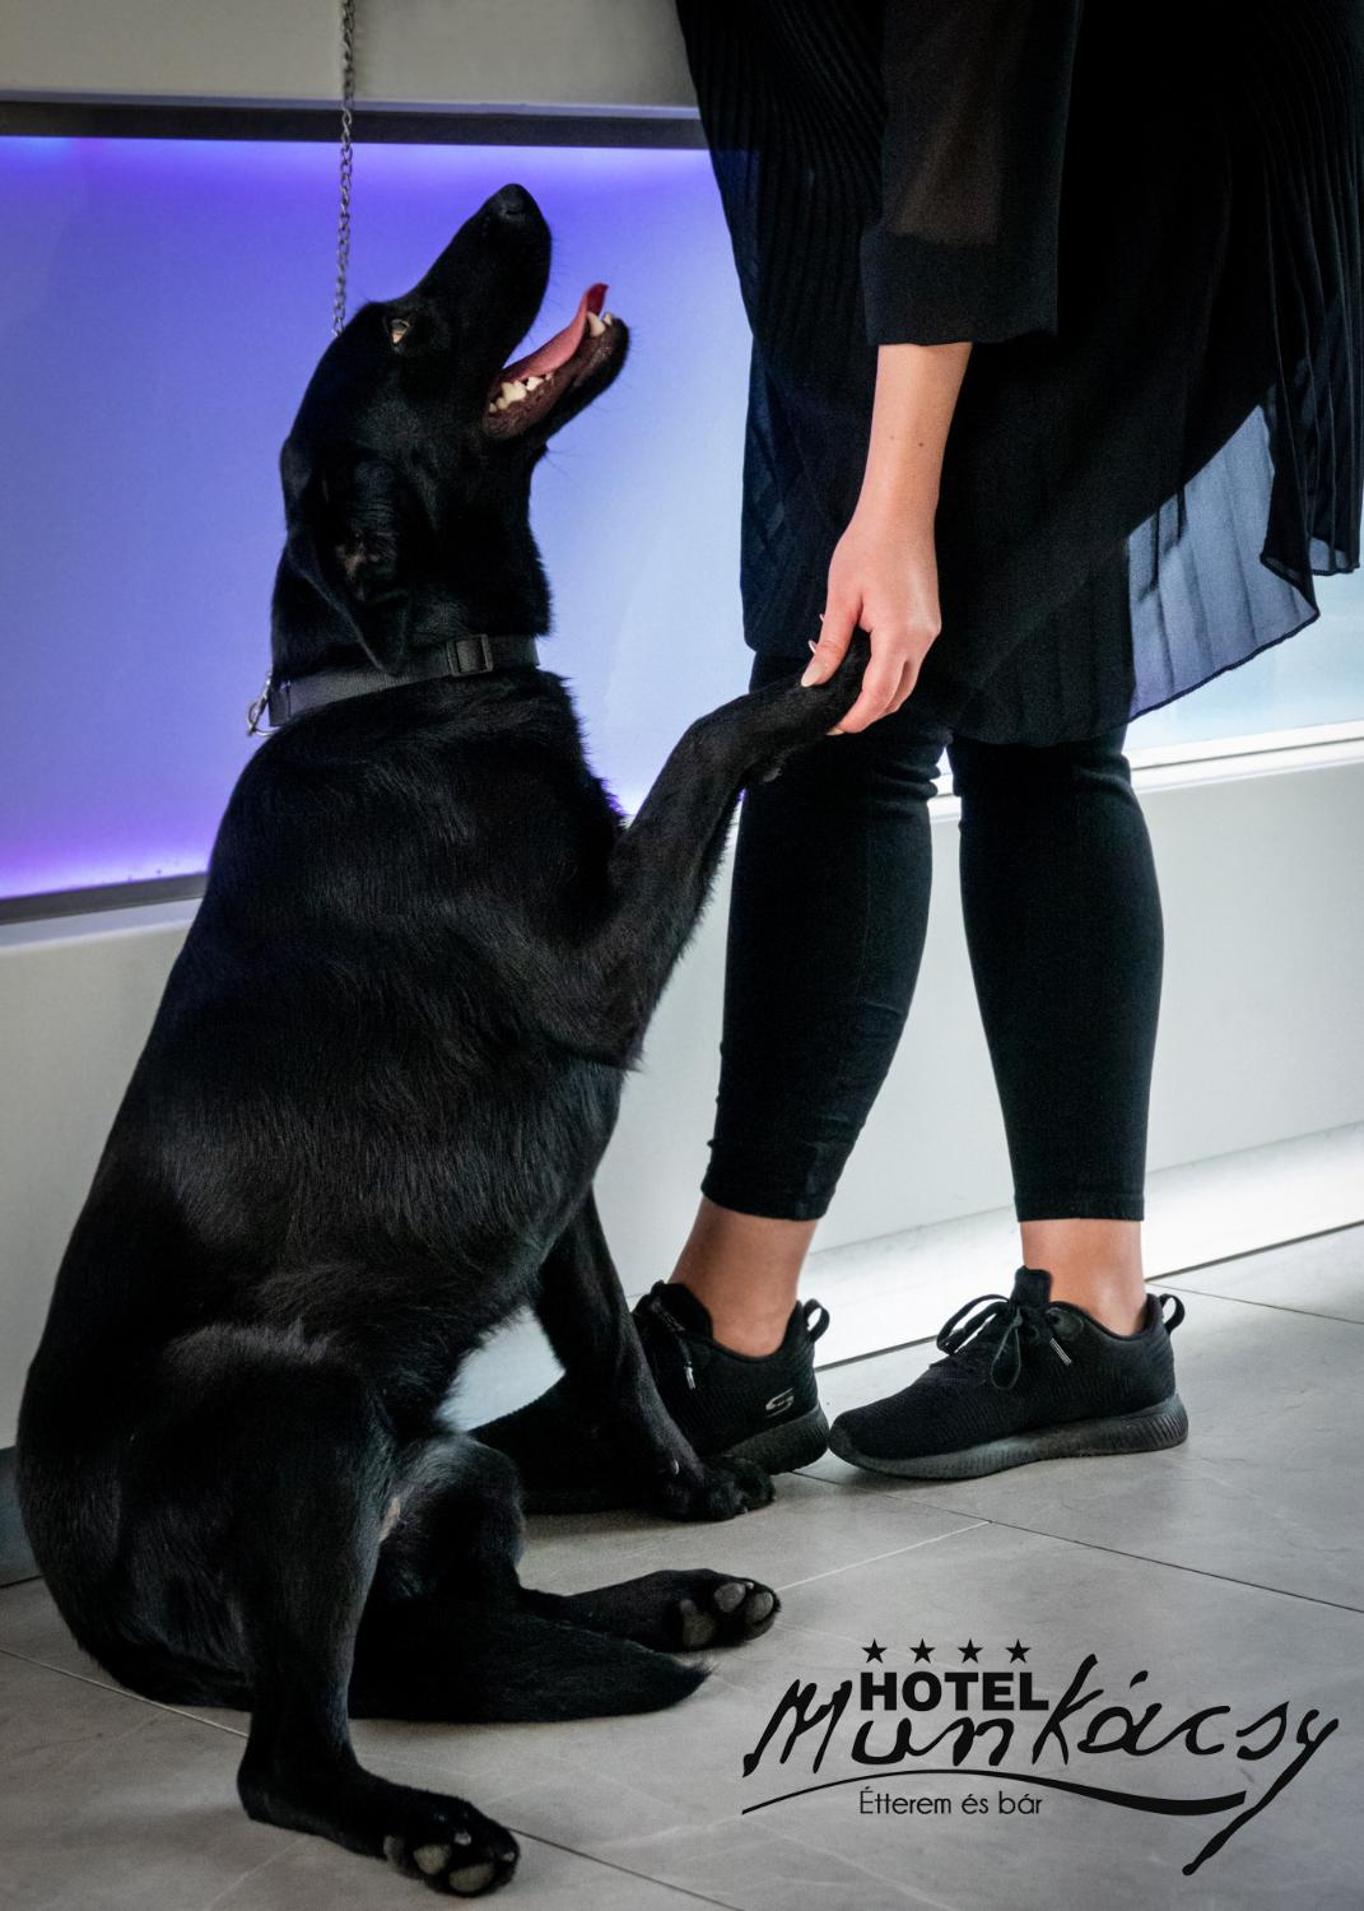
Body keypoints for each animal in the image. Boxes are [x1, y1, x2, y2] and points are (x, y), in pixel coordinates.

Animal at [16, 184, 864, 1897]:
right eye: (409, 329)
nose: (521, 195)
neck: (409, 678)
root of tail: (87, 1607)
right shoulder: (603, 974)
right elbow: (705, 742)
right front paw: (815, 672)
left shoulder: (569, 1192)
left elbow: (614, 1339)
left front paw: (688, 1484)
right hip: (311, 1417)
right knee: (294, 1748)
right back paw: (430, 1823)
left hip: (460, 1465)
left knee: (446, 1622)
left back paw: (664, 1599)